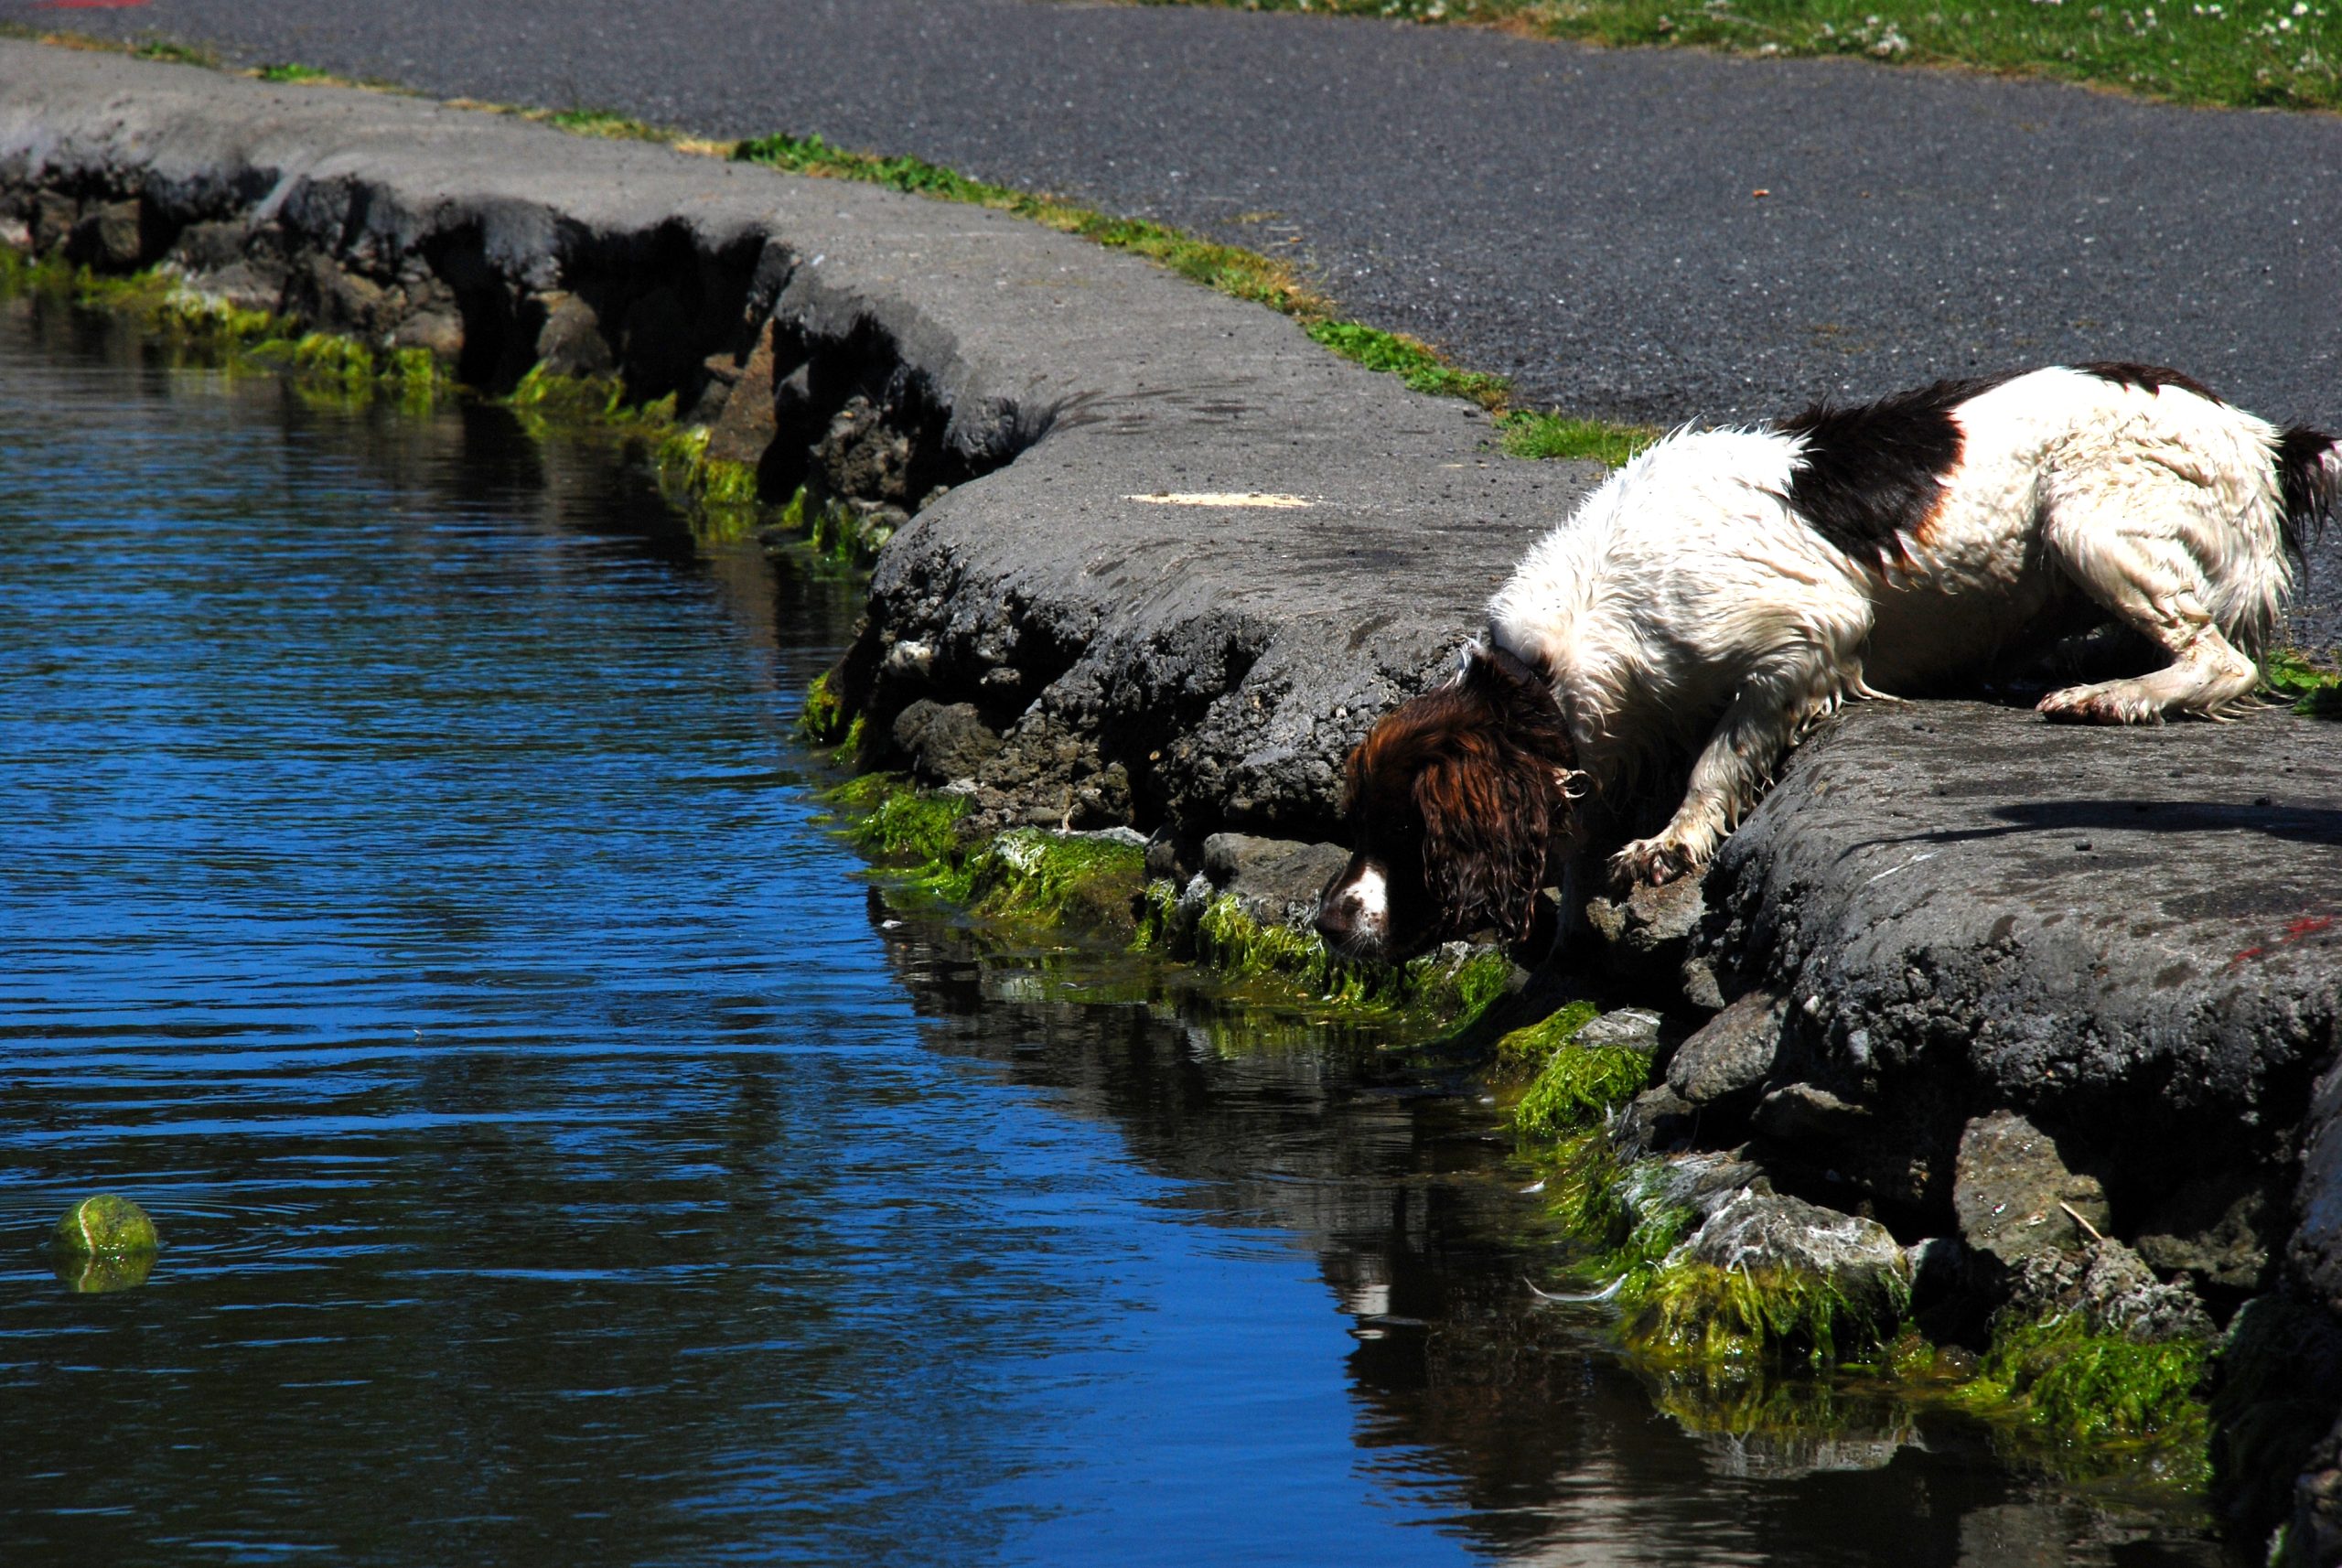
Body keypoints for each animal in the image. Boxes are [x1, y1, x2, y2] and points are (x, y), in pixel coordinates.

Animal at [1320, 362, 2342, 963]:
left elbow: (1715, 761)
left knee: (2220, 659)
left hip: (2084, 517)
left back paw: (2110, 696)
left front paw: (1668, 843)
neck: (1553, 659)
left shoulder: (1810, 632)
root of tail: (2267, 440)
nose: (1325, 921)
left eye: (1405, 831)